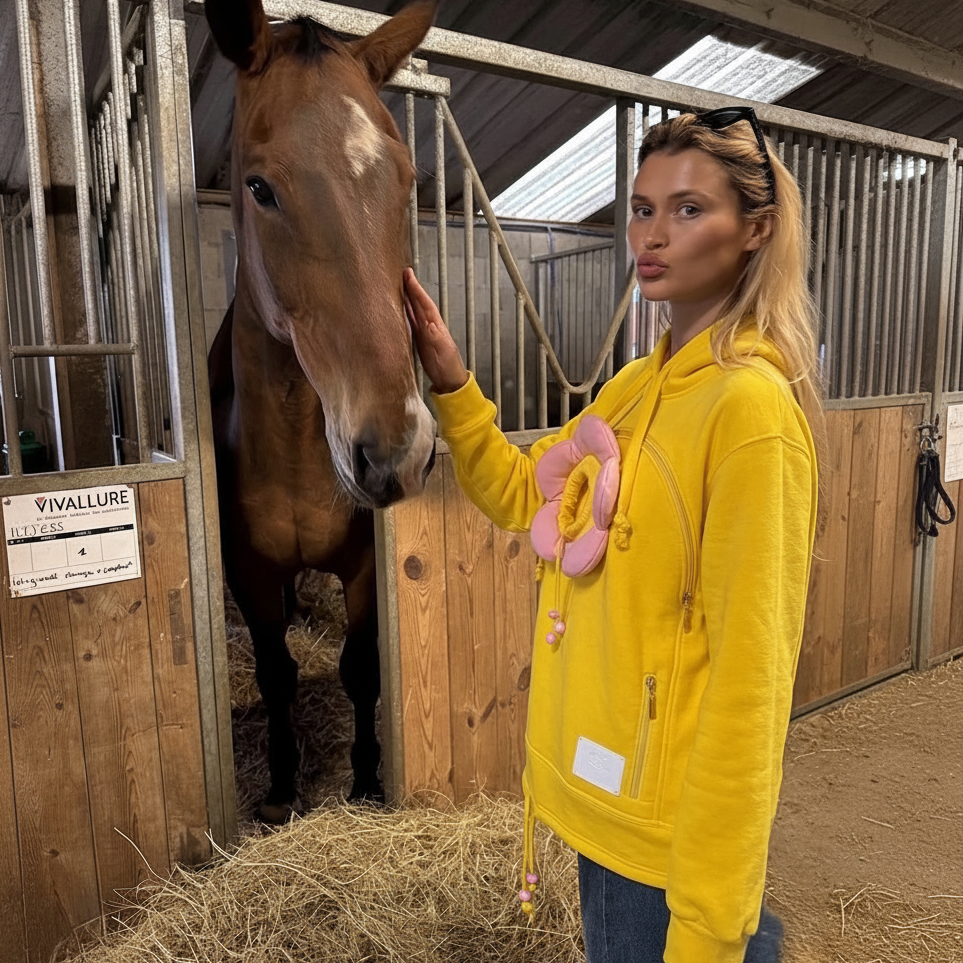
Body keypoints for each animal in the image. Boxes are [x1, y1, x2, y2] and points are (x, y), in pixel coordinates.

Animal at [204, 0, 437, 822]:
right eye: (259, 187)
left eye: (406, 178)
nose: (396, 451)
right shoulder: (245, 570)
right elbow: (276, 671)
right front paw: (280, 788)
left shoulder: (366, 567)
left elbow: (361, 667)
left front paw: (366, 781)